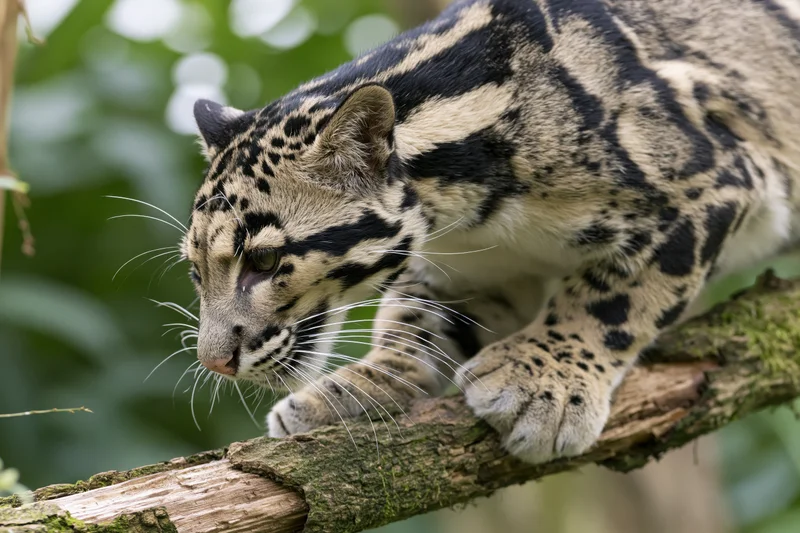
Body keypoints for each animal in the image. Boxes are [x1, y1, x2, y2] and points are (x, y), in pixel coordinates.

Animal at [182, 0, 800, 464]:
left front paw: (547, 382)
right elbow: (416, 319)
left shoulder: (714, 181)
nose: (213, 363)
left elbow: (619, 298)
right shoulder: (470, 267)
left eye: (263, 262)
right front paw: (362, 384)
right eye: (195, 269)